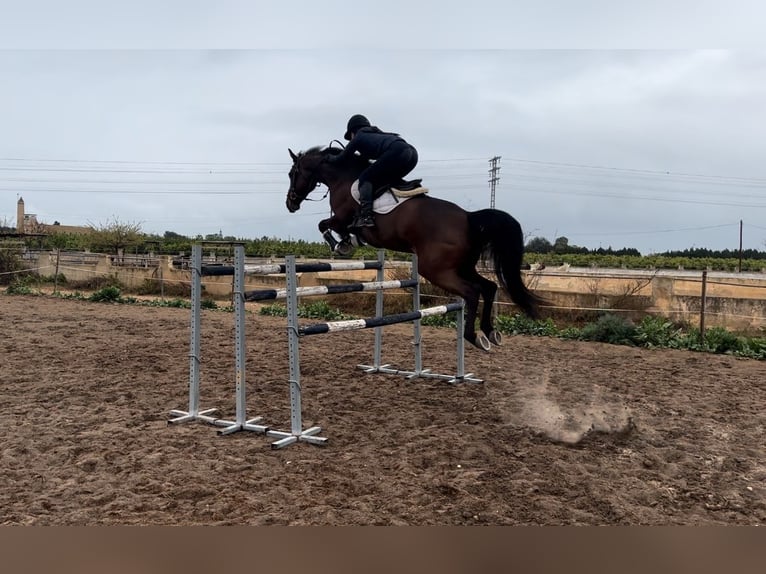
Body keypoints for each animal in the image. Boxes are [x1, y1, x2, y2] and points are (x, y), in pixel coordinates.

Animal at [286, 144, 544, 352]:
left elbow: (325, 225)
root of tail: (469, 218)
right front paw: (346, 243)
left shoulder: (341, 218)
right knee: (489, 288)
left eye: (292, 173)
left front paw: (341, 245)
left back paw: (473, 336)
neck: (343, 178)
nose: (290, 203)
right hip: (461, 267)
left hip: (437, 270)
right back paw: (489, 332)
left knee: (472, 292)